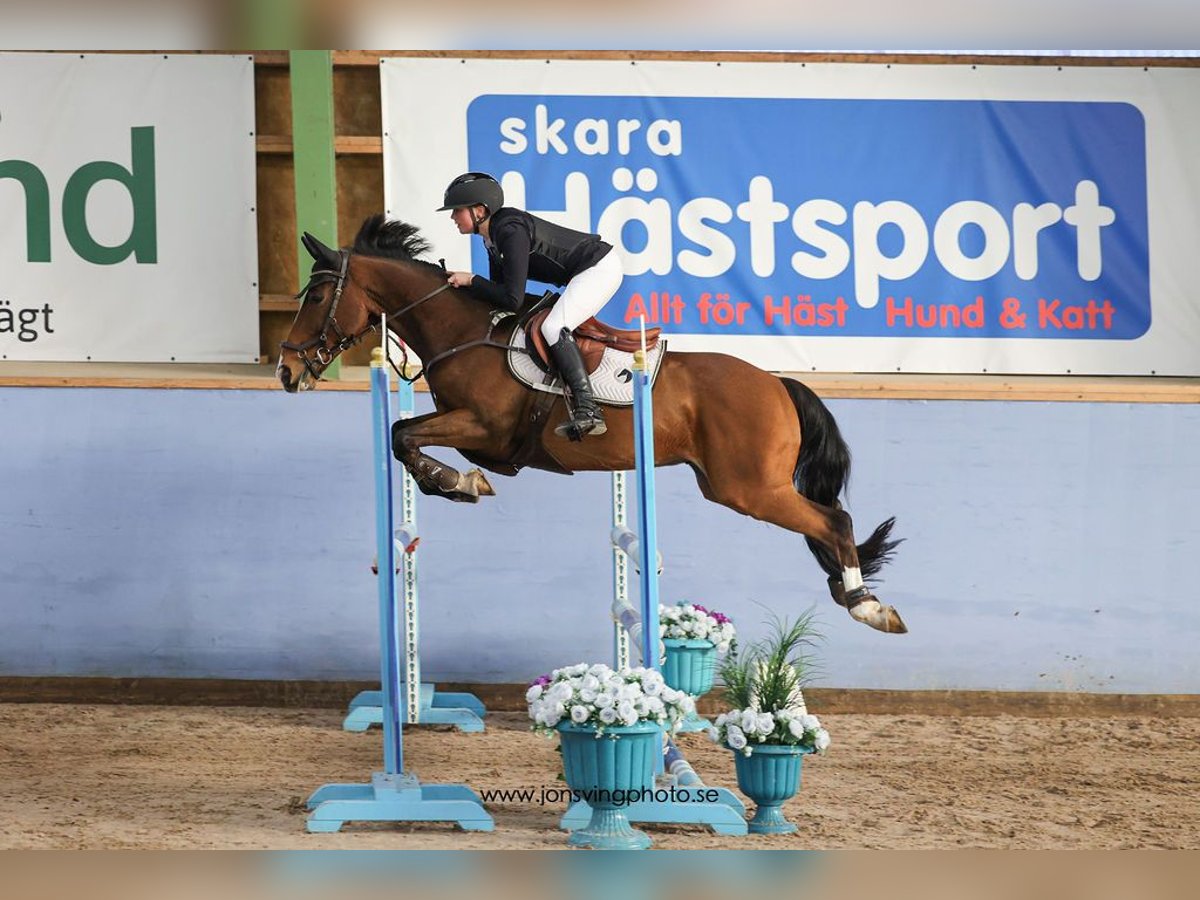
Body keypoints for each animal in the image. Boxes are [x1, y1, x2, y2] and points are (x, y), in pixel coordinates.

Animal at [276, 216, 902, 633]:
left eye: (318, 296)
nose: (285, 371)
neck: (463, 330)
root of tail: (777, 385)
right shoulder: (465, 424)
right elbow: (400, 435)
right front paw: (458, 483)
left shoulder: (485, 429)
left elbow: (406, 437)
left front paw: (461, 483)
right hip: (735, 486)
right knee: (826, 525)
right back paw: (853, 593)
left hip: (748, 489)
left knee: (834, 520)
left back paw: (868, 605)